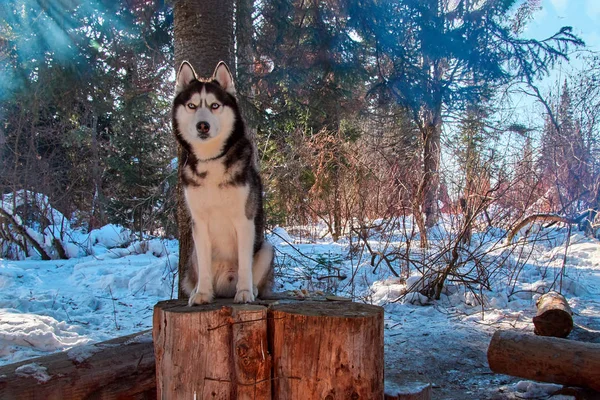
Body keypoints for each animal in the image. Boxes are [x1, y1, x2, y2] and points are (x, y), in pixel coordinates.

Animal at [173, 61, 274, 304]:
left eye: (215, 105)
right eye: (191, 105)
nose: (203, 125)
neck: (211, 160)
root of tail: (224, 288)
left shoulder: (244, 220)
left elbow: (245, 263)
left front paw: (245, 292)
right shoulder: (199, 223)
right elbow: (204, 266)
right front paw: (202, 294)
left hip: (267, 248)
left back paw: (251, 290)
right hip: (192, 257)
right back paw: (201, 290)